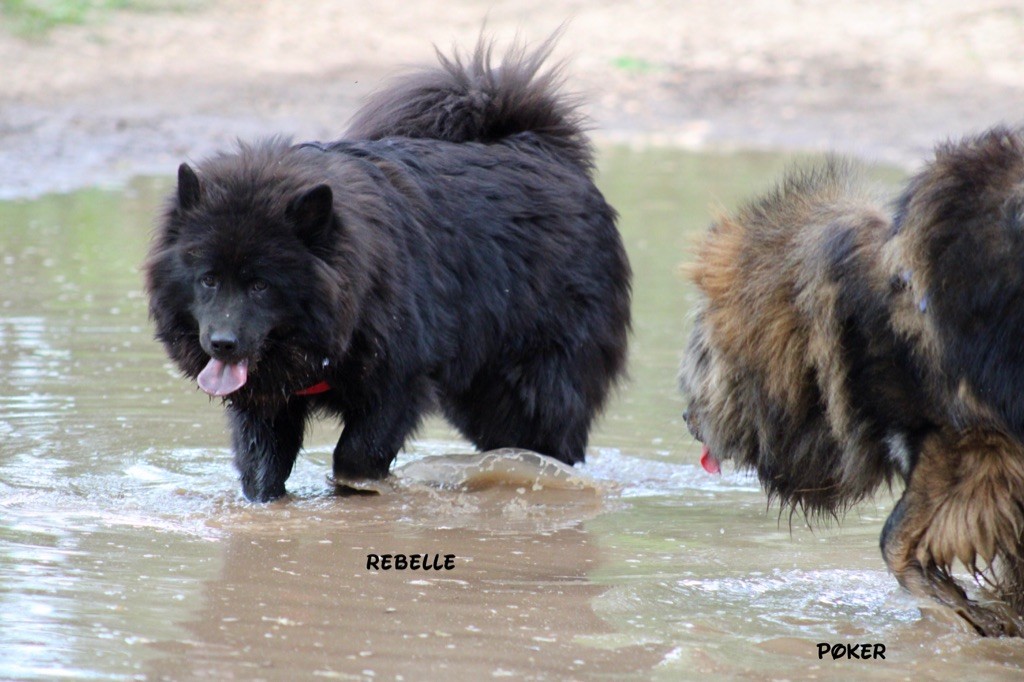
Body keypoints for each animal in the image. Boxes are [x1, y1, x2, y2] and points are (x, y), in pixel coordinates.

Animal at [144, 39, 630, 501]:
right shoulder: (268, 405)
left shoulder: (397, 382)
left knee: (549, 440)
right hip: (482, 393)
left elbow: (355, 457)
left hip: (537, 382)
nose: (221, 344)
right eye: (208, 279)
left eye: (261, 285)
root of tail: (544, 148)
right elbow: (262, 470)